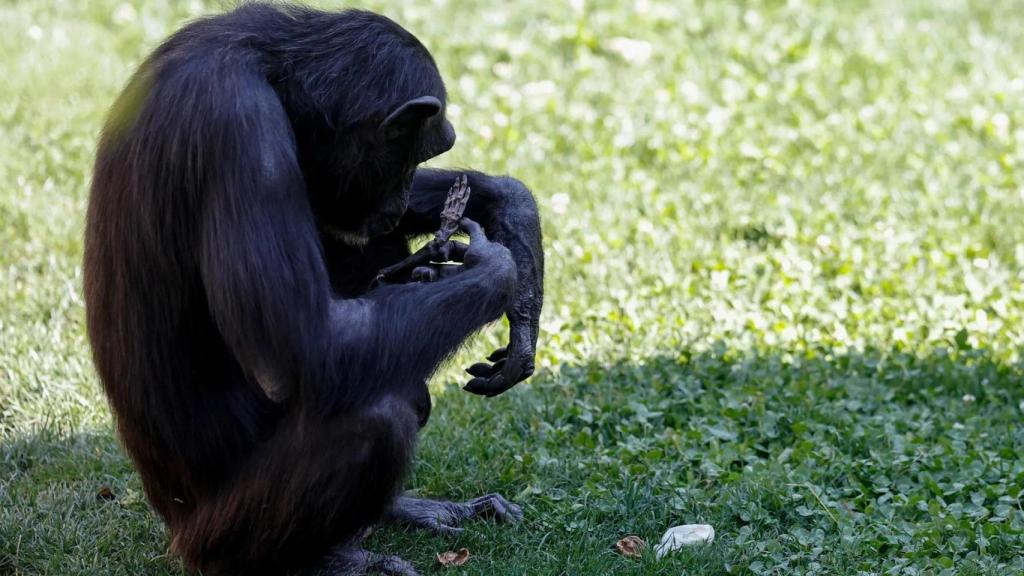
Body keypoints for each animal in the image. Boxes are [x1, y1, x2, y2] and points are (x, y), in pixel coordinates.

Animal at [81, 5, 544, 573]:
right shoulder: (240, 130)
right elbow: (306, 345)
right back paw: (332, 558)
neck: (271, 70)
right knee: (376, 420)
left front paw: (514, 224)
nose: (401, 198)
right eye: (411, 154)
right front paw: (497, 268)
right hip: (215, 537)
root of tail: (173, 528)